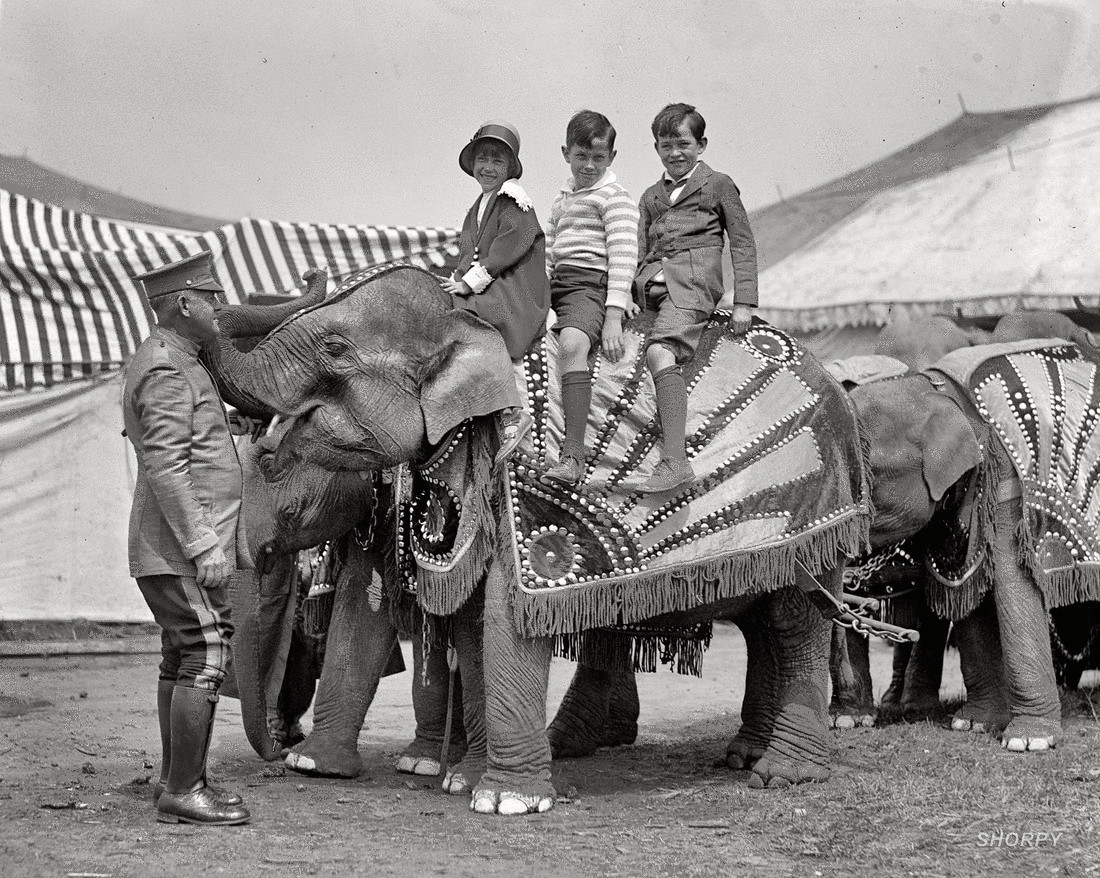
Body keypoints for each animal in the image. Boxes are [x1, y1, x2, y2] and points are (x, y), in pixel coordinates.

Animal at [195, 262, 866, 818]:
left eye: (334, 349)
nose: (190, 298)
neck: (467, 316)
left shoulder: (524, 481)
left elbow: (504, 615)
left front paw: (503, 801)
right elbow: (396, 609)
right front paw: (333, 770)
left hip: (818, 502)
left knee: (796, 622)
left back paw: (782, 774)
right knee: (759, 623)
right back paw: (729, 753)